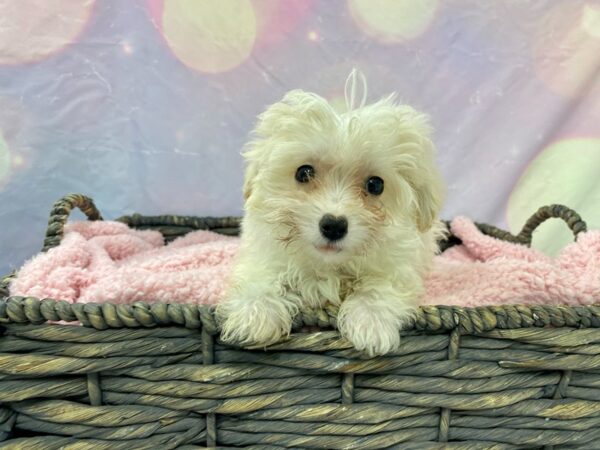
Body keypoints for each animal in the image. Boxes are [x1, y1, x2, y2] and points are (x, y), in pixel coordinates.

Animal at [217, 89, 446, 356]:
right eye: (304, 172)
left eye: (375, 185)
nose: (334, 226)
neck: (326, 265)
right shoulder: (262, 254)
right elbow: (260, 278)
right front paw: (254, 317)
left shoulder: (399, 267)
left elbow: (379, 287)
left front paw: (371, 323)